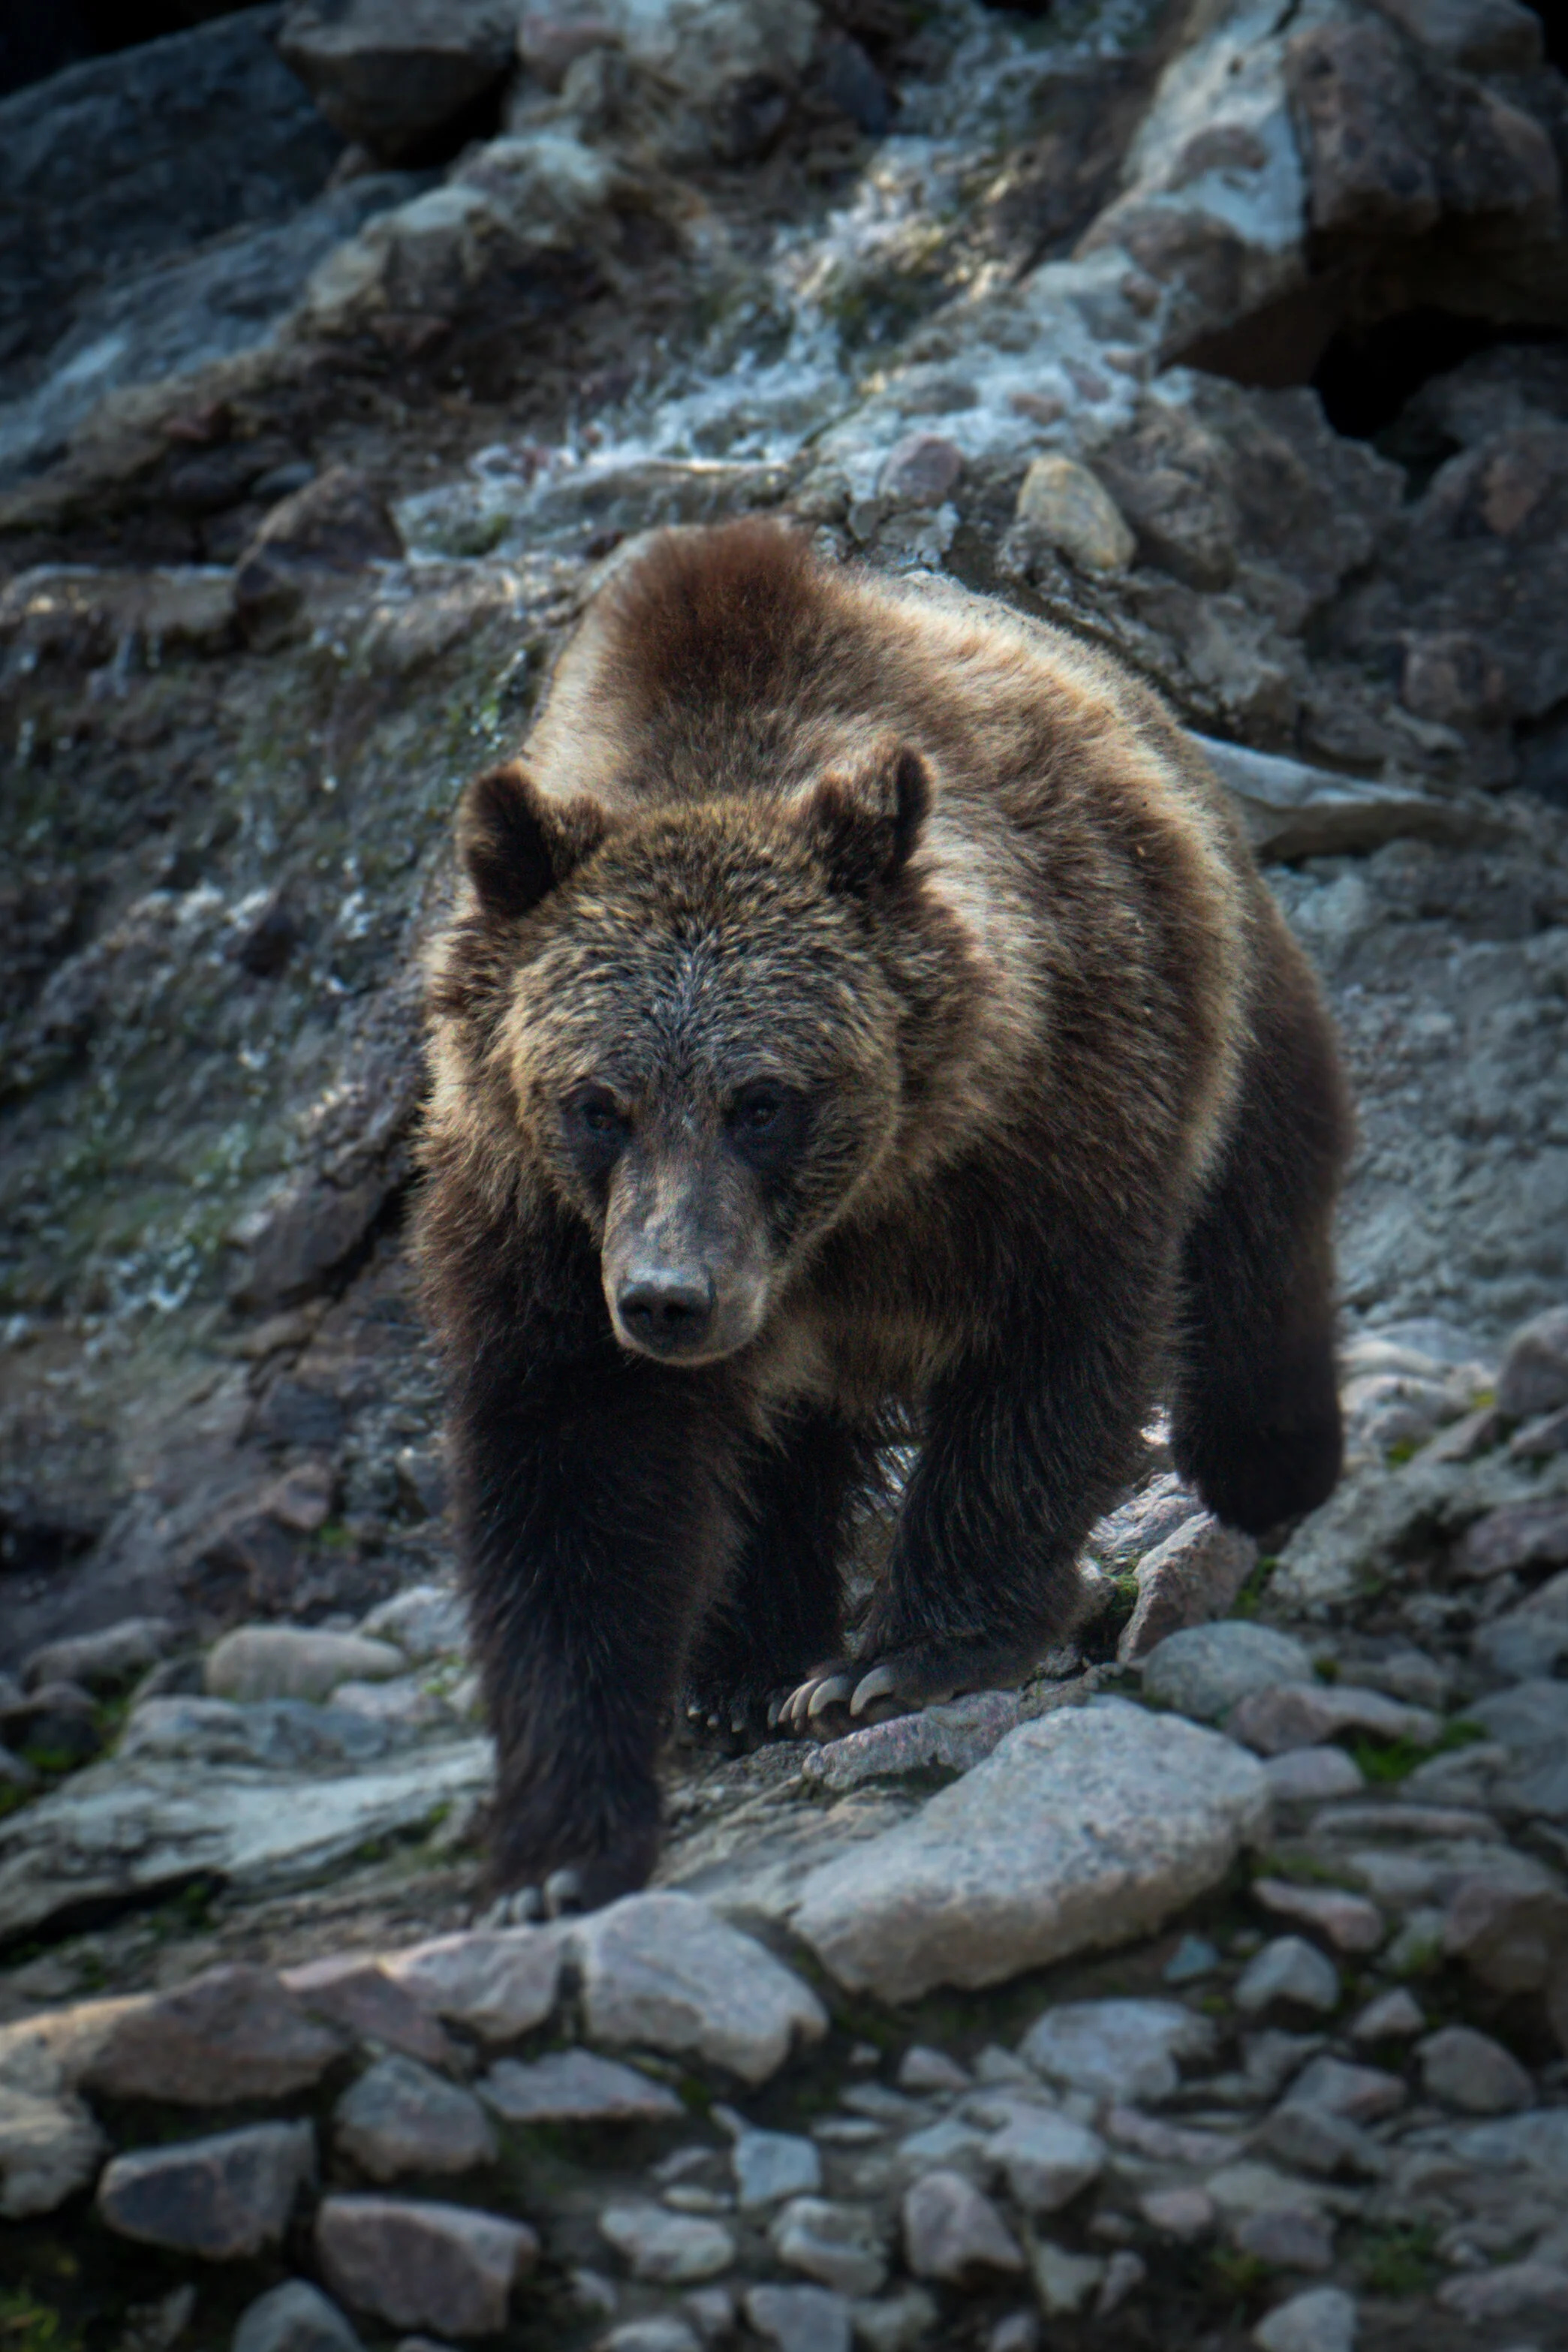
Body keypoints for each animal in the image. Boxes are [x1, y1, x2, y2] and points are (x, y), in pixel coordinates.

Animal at [415, 516, 1352, 1916]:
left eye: (761, 1097)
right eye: (597, 1101)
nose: (669, 1299)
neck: (847, 1218)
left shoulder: (1050, 1111)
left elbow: (1045, 1355)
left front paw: (909, 1654)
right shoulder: (539, 1224)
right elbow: (571, 1479)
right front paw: (557, 1847)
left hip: (1228, 986)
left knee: (1259, 1211)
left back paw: (1267, 1454)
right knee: (775, 1450)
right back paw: (745, 1668)